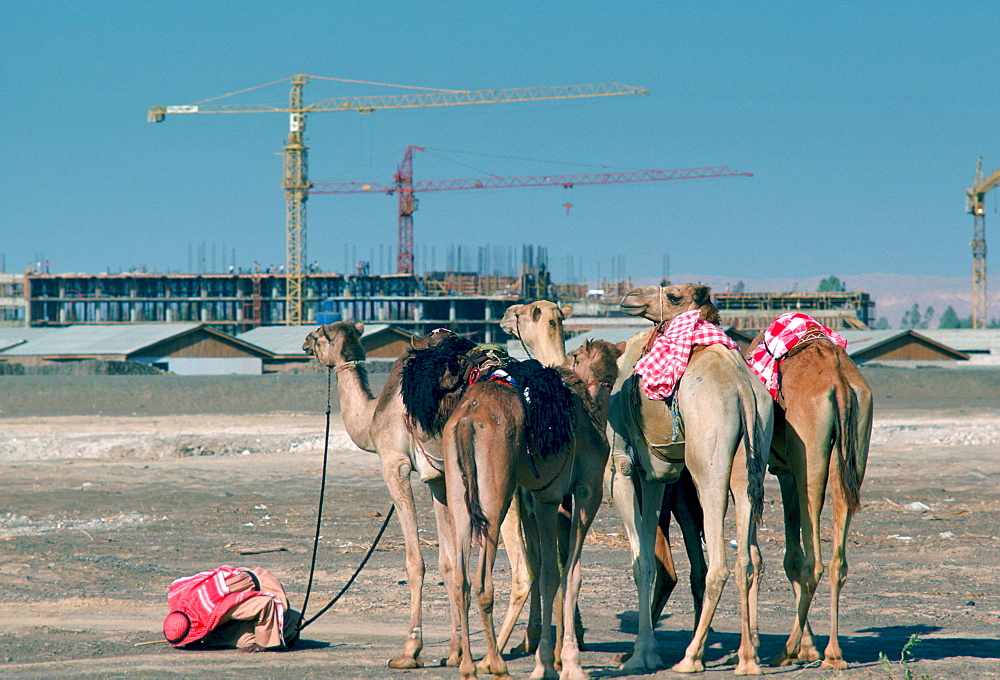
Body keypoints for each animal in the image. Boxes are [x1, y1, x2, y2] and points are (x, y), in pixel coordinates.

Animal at [300, 322, 564, 668]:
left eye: (322, 333)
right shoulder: (438, 481)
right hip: (527, 485)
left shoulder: (395, 465)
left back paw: (495, 656)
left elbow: (415, 563)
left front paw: (410, 651)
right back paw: (536, 646)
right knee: (544, 559)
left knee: (523, 569)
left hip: (498, 486)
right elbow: (449, 564)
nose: (305, 341)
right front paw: (454, 651)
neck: (374, 415)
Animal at [444, 340, 616, 680]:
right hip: (495, 495)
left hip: (459, 490)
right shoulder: (582, 493)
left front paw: (550, 660)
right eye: (612, 377)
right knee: (483, 581)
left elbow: (550, 571)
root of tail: (468, 420)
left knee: (461, 580)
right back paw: (496, 664)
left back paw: (469, 665)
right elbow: (567, 573)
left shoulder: (541, 499)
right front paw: (564, 663)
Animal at [608, 282, 772, 676]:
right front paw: (644, 651)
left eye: (674, 295)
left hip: (707, 464)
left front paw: (640, 656)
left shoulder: (623, 466)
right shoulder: (656, 475)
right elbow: (650, 559)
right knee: (748, 558)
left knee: (720, 563)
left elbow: (641, 562)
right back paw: (747, 659)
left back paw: (691, 657)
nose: (631, 296)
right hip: (751, 459)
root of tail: (742, 391)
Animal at [744, 320, 876, 668]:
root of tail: (839, 383)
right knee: (837, 559)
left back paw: (787, 649)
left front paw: (803, 648)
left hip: (810, 454)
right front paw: (811, 647)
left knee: (813, 560)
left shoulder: (784, 470)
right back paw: (833, 653)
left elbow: (790, 557)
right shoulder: (789, 470)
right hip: (854, 447)